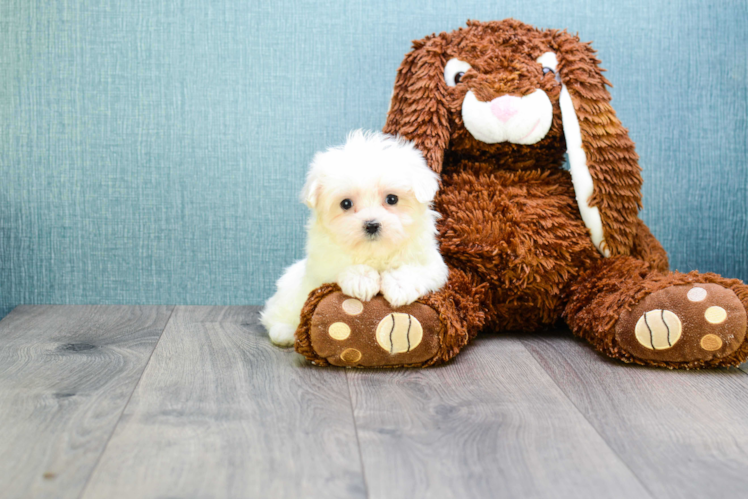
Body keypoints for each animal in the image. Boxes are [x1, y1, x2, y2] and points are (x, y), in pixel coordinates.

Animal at [262, 131, 450, 346]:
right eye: (346, 203)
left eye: (392, 199)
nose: (371, 224)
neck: (374, 253)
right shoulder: (321, 266)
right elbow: (341, 265)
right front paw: (362, 280)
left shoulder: (432, 264)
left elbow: (416, 270)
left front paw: (399, 286)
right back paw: (284, 332)